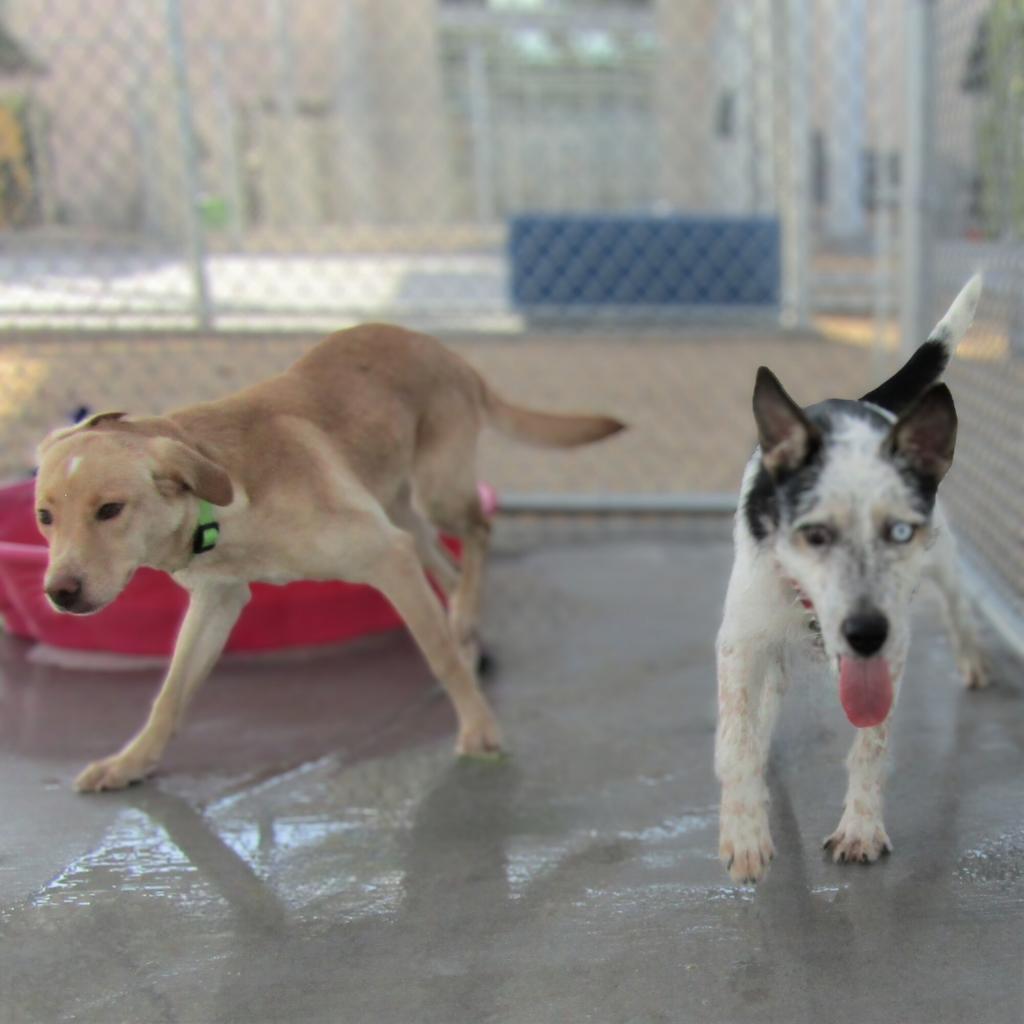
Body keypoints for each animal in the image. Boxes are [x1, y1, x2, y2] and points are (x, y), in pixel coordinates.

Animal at [36, 321, 622, 790]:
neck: (227, 493)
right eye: (44, 517)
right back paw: (467, 623)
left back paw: (463, 624)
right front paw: (132, 762)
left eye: (110, 509)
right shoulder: (218, 600)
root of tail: (440, 348)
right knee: (453, 571)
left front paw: (479, 730)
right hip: (399, 507)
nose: (59, 593)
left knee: (480, 530)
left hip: (435, 493)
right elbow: (172, 692)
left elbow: (438, 656)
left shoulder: (387, 556)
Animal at [716, 276, 987, 884]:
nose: (866, 633)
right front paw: (745, 832)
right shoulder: (740, 639)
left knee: (960, 608)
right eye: (815, 533)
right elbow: (738, 738)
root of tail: (861, 402)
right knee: (766, 700)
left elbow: (871, 743)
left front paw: (861, 828)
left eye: (899, 531)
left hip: (944, 562)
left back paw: (971, 660)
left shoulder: (892, 650)